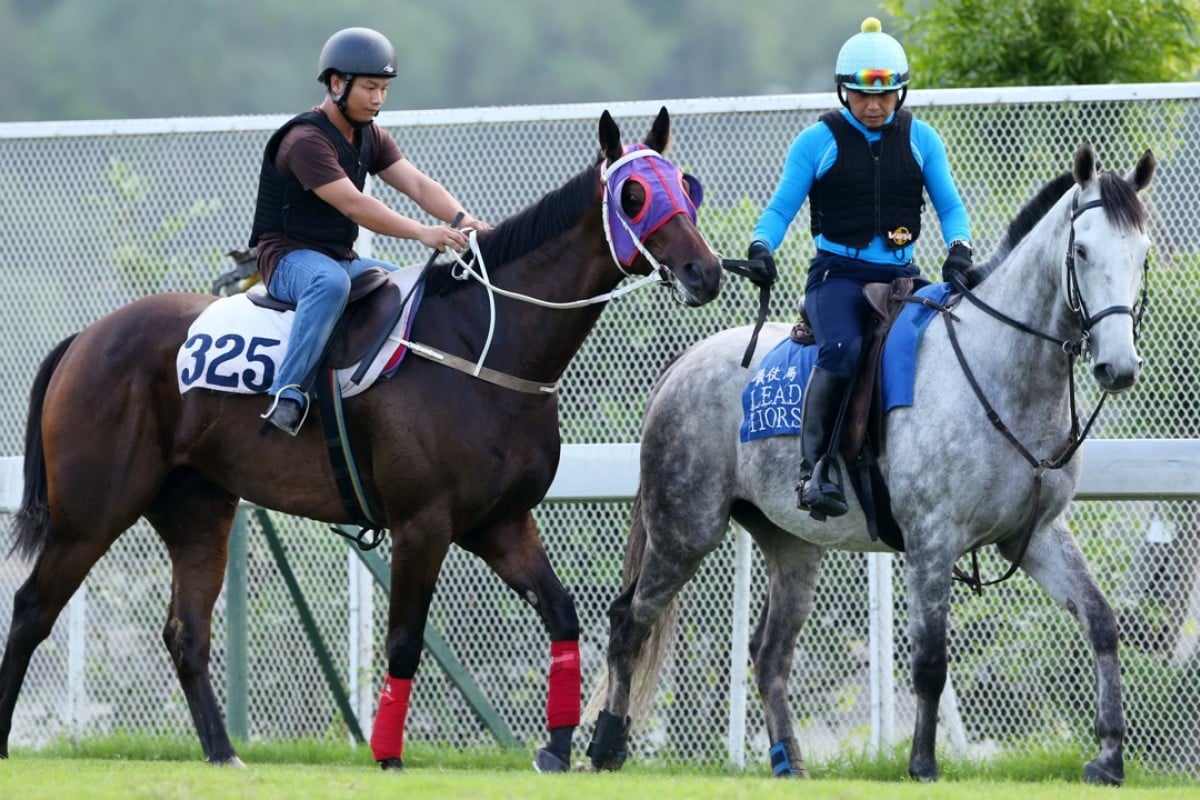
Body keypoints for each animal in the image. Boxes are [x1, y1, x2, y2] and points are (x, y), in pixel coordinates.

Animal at [0, 106, 720, 767]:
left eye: (687, 188)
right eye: (633, 195)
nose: (704, 272)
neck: (479, 346)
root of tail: (86, 338)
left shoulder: (501, 522)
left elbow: (562, 613)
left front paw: (559, 746)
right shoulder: (422, 522)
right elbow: (404, 640)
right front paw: (388, 755)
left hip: (197, 507)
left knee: (186, 632)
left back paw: (223, 751)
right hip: (92, 511)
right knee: (33, 607)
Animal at [585, 145, 1156, 786]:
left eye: (1141, 254)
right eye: (1081, 252)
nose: (1118, 367)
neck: (998, 368)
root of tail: (682, 364)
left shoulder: (1035, 535)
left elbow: (1100, 621)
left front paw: (1108, 755)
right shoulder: (932, 541)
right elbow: (930, 660)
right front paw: (923, 763)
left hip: (793, 547)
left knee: (769, 655)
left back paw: (789, 761)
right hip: (684, 532)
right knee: (628, 621)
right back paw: (603, 745)